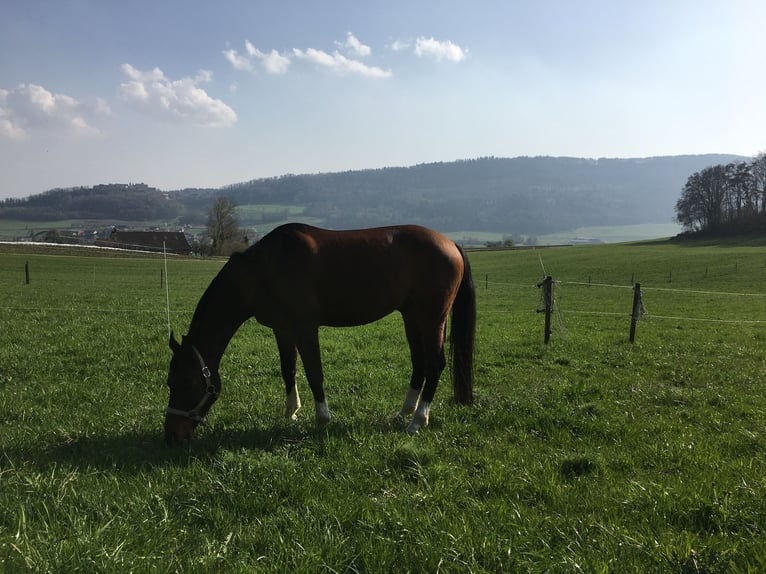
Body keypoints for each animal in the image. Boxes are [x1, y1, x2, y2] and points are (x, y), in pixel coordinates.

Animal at [164, 224, 474, 446]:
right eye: (170, 382)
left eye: (186, 383)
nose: (173, 435)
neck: (264, 268)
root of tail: (451, 244)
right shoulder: (282, 329)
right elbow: (288, 369)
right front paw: (291, 412)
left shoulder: (305, 327)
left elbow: (314, 372)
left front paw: (322, 418)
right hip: (412, 316)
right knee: (419, 363)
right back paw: (403, 413)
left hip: (432, 318)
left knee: (435, 364)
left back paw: (417, 421)